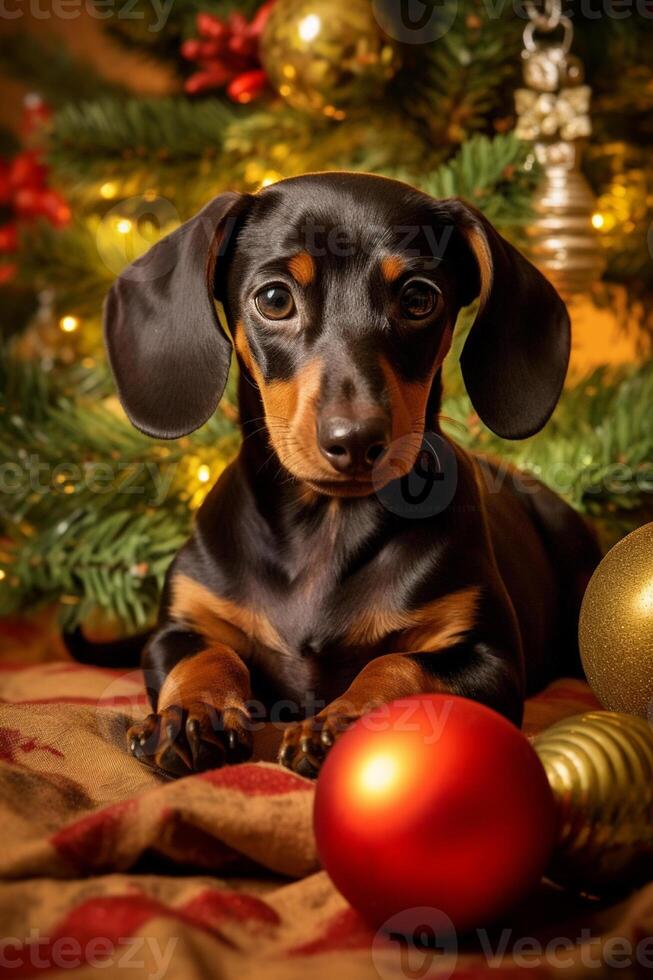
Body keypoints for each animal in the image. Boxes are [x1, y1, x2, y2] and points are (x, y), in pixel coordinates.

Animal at [104, 172, 600, 776]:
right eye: (274, 299)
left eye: (418, 299)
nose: (357, 441)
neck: (326, 528)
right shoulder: (178, 629)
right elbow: (207, 657)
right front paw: (194, 715)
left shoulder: (488, 657)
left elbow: (396, 665)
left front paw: (339, 721)